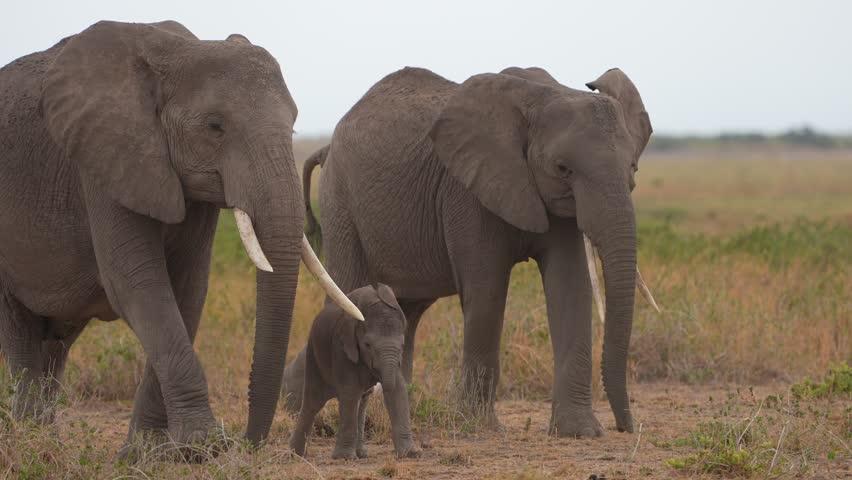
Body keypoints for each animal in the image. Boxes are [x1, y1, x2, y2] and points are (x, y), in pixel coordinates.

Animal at [0, 20, 363, 455]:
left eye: (292, 125)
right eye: (215, 126)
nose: (249, 442)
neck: (177, 53)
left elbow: (188, 289)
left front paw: (150, 452)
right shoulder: (103, 162)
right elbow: (138, 285)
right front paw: (201, 448)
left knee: (57, 340)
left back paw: (43, 437)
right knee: (20, 328)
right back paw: (29, 438)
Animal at [287, 284, 420, 460]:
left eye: (403, 345)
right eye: (367, 345)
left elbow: (398, 389)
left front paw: (412, 453)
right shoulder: (341, 347)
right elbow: (350, 391)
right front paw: (344, 457)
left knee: (361, 403)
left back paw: (361, 454)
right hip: (314, 355)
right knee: (313, 402)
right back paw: (296, 454)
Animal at [300, 66, 657, 438]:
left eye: (633, 168)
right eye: (562, 168)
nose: (625, 427)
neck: (543, 96)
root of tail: (326, 147)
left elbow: (570, 287)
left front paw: (580, 432)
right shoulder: (467, 191)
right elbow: (487, 291)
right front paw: (481, 426)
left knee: (404, 311)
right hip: (340, 204)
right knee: (347, 290)